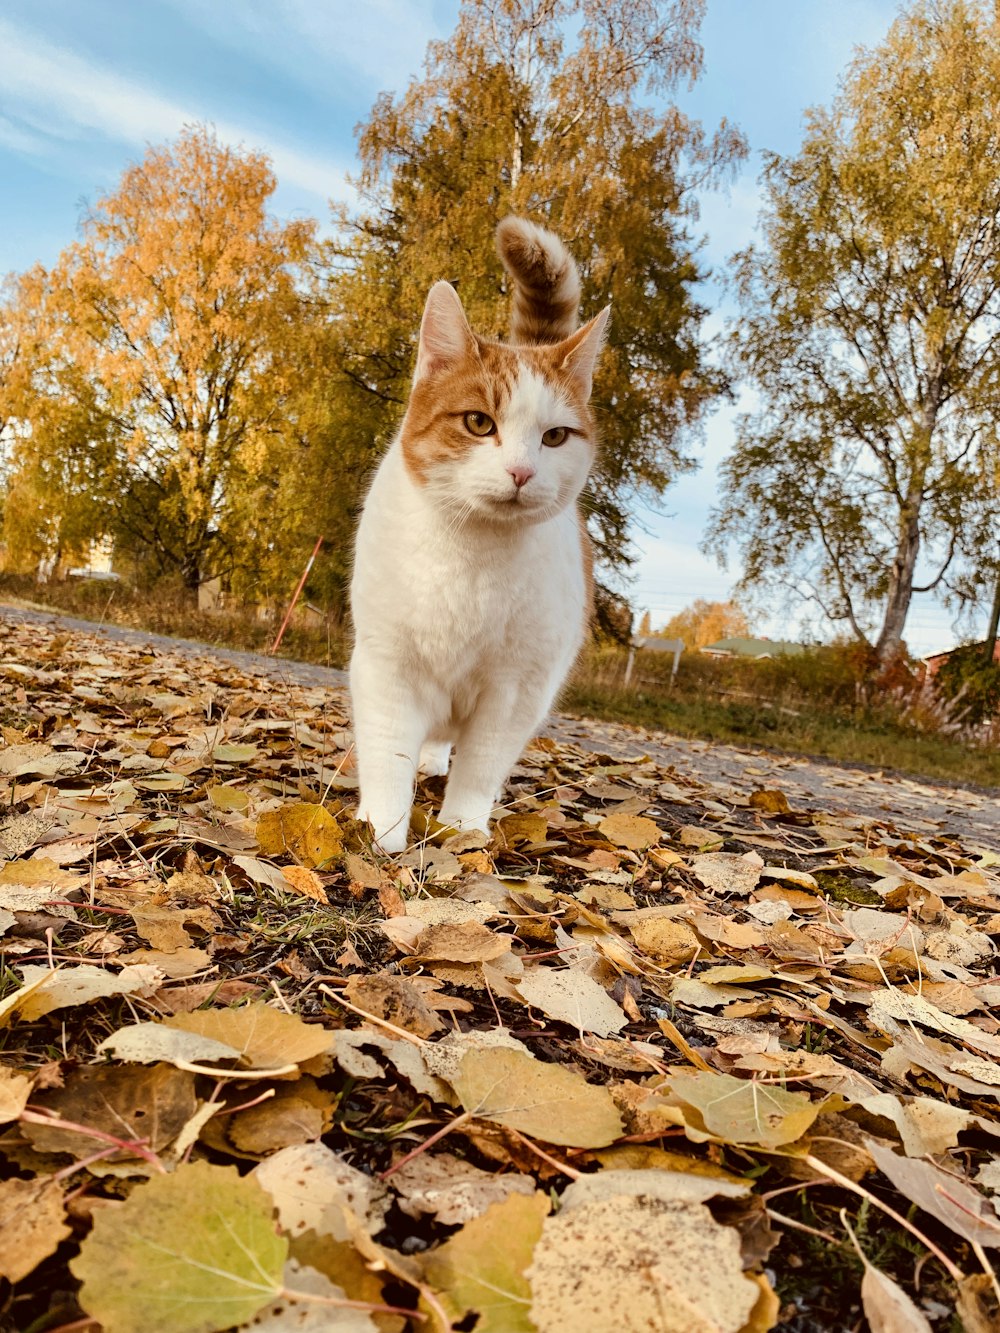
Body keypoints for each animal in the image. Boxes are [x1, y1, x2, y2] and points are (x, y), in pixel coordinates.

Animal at [352, 213, 608, 847]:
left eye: (555, 437)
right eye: (478, 423)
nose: (521, 471)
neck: (471, 557)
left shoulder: (517, 690)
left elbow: (482, 762)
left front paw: (464, 830)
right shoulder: (388, 668)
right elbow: (388, 755)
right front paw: (382, 834)